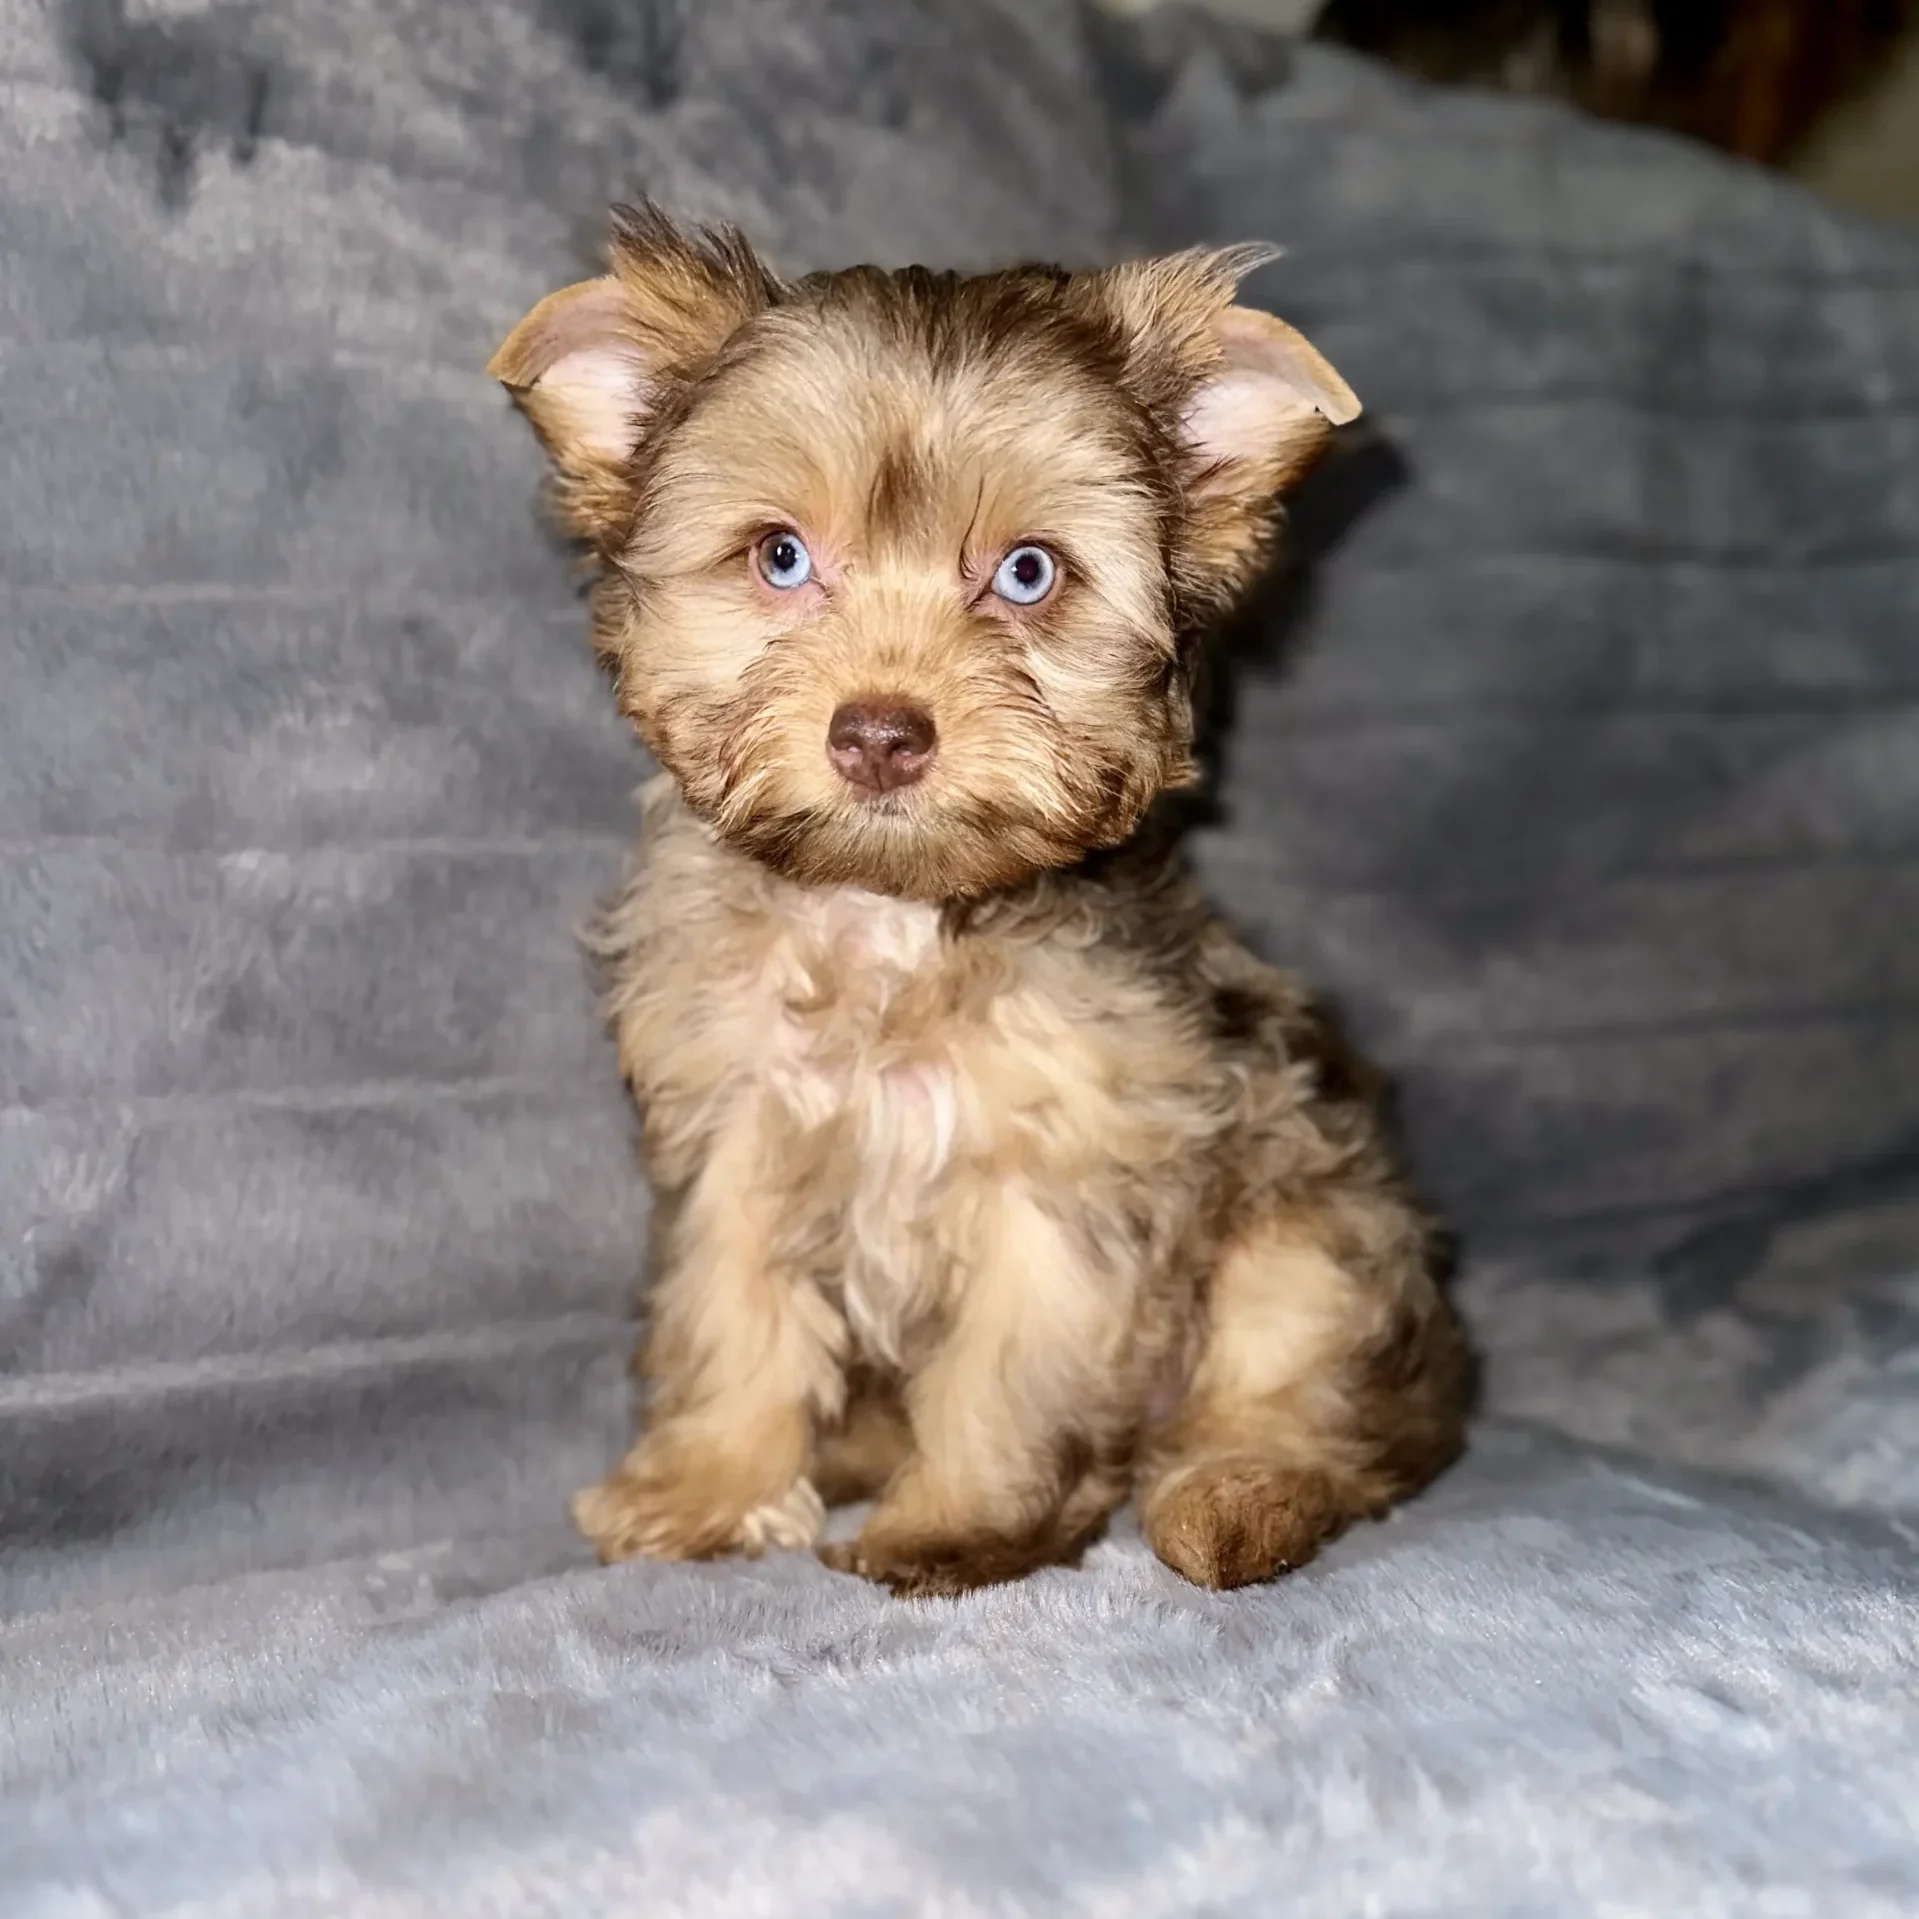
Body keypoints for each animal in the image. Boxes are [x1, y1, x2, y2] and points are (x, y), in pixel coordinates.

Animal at [495, 202, 1466, 1596]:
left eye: (1024, 574)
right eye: (779, 556)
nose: (879, 732)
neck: (894, 915)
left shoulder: (1070, 1165)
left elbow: (1012, 1365)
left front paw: (955, 1525)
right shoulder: (738, 1125)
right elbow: (730, 1307)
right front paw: (708, 1487)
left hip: (1316, 1223)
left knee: (1306, 1398)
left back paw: (1235, 1494)